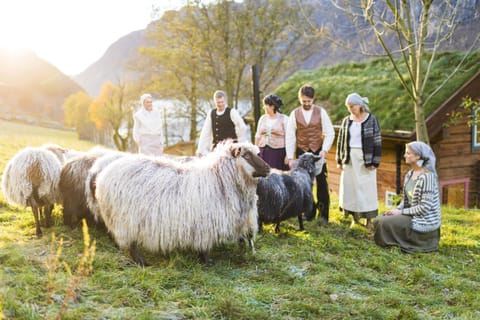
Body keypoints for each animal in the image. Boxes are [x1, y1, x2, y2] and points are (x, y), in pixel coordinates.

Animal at [94, 141, 270, 266]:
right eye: (246, 156)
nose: (268, 169)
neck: (220, 178)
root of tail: (103, 175)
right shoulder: (205, 225)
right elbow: (205, 247)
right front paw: (207, 262)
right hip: (126, 219)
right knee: (131, 244)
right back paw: (142, 262)